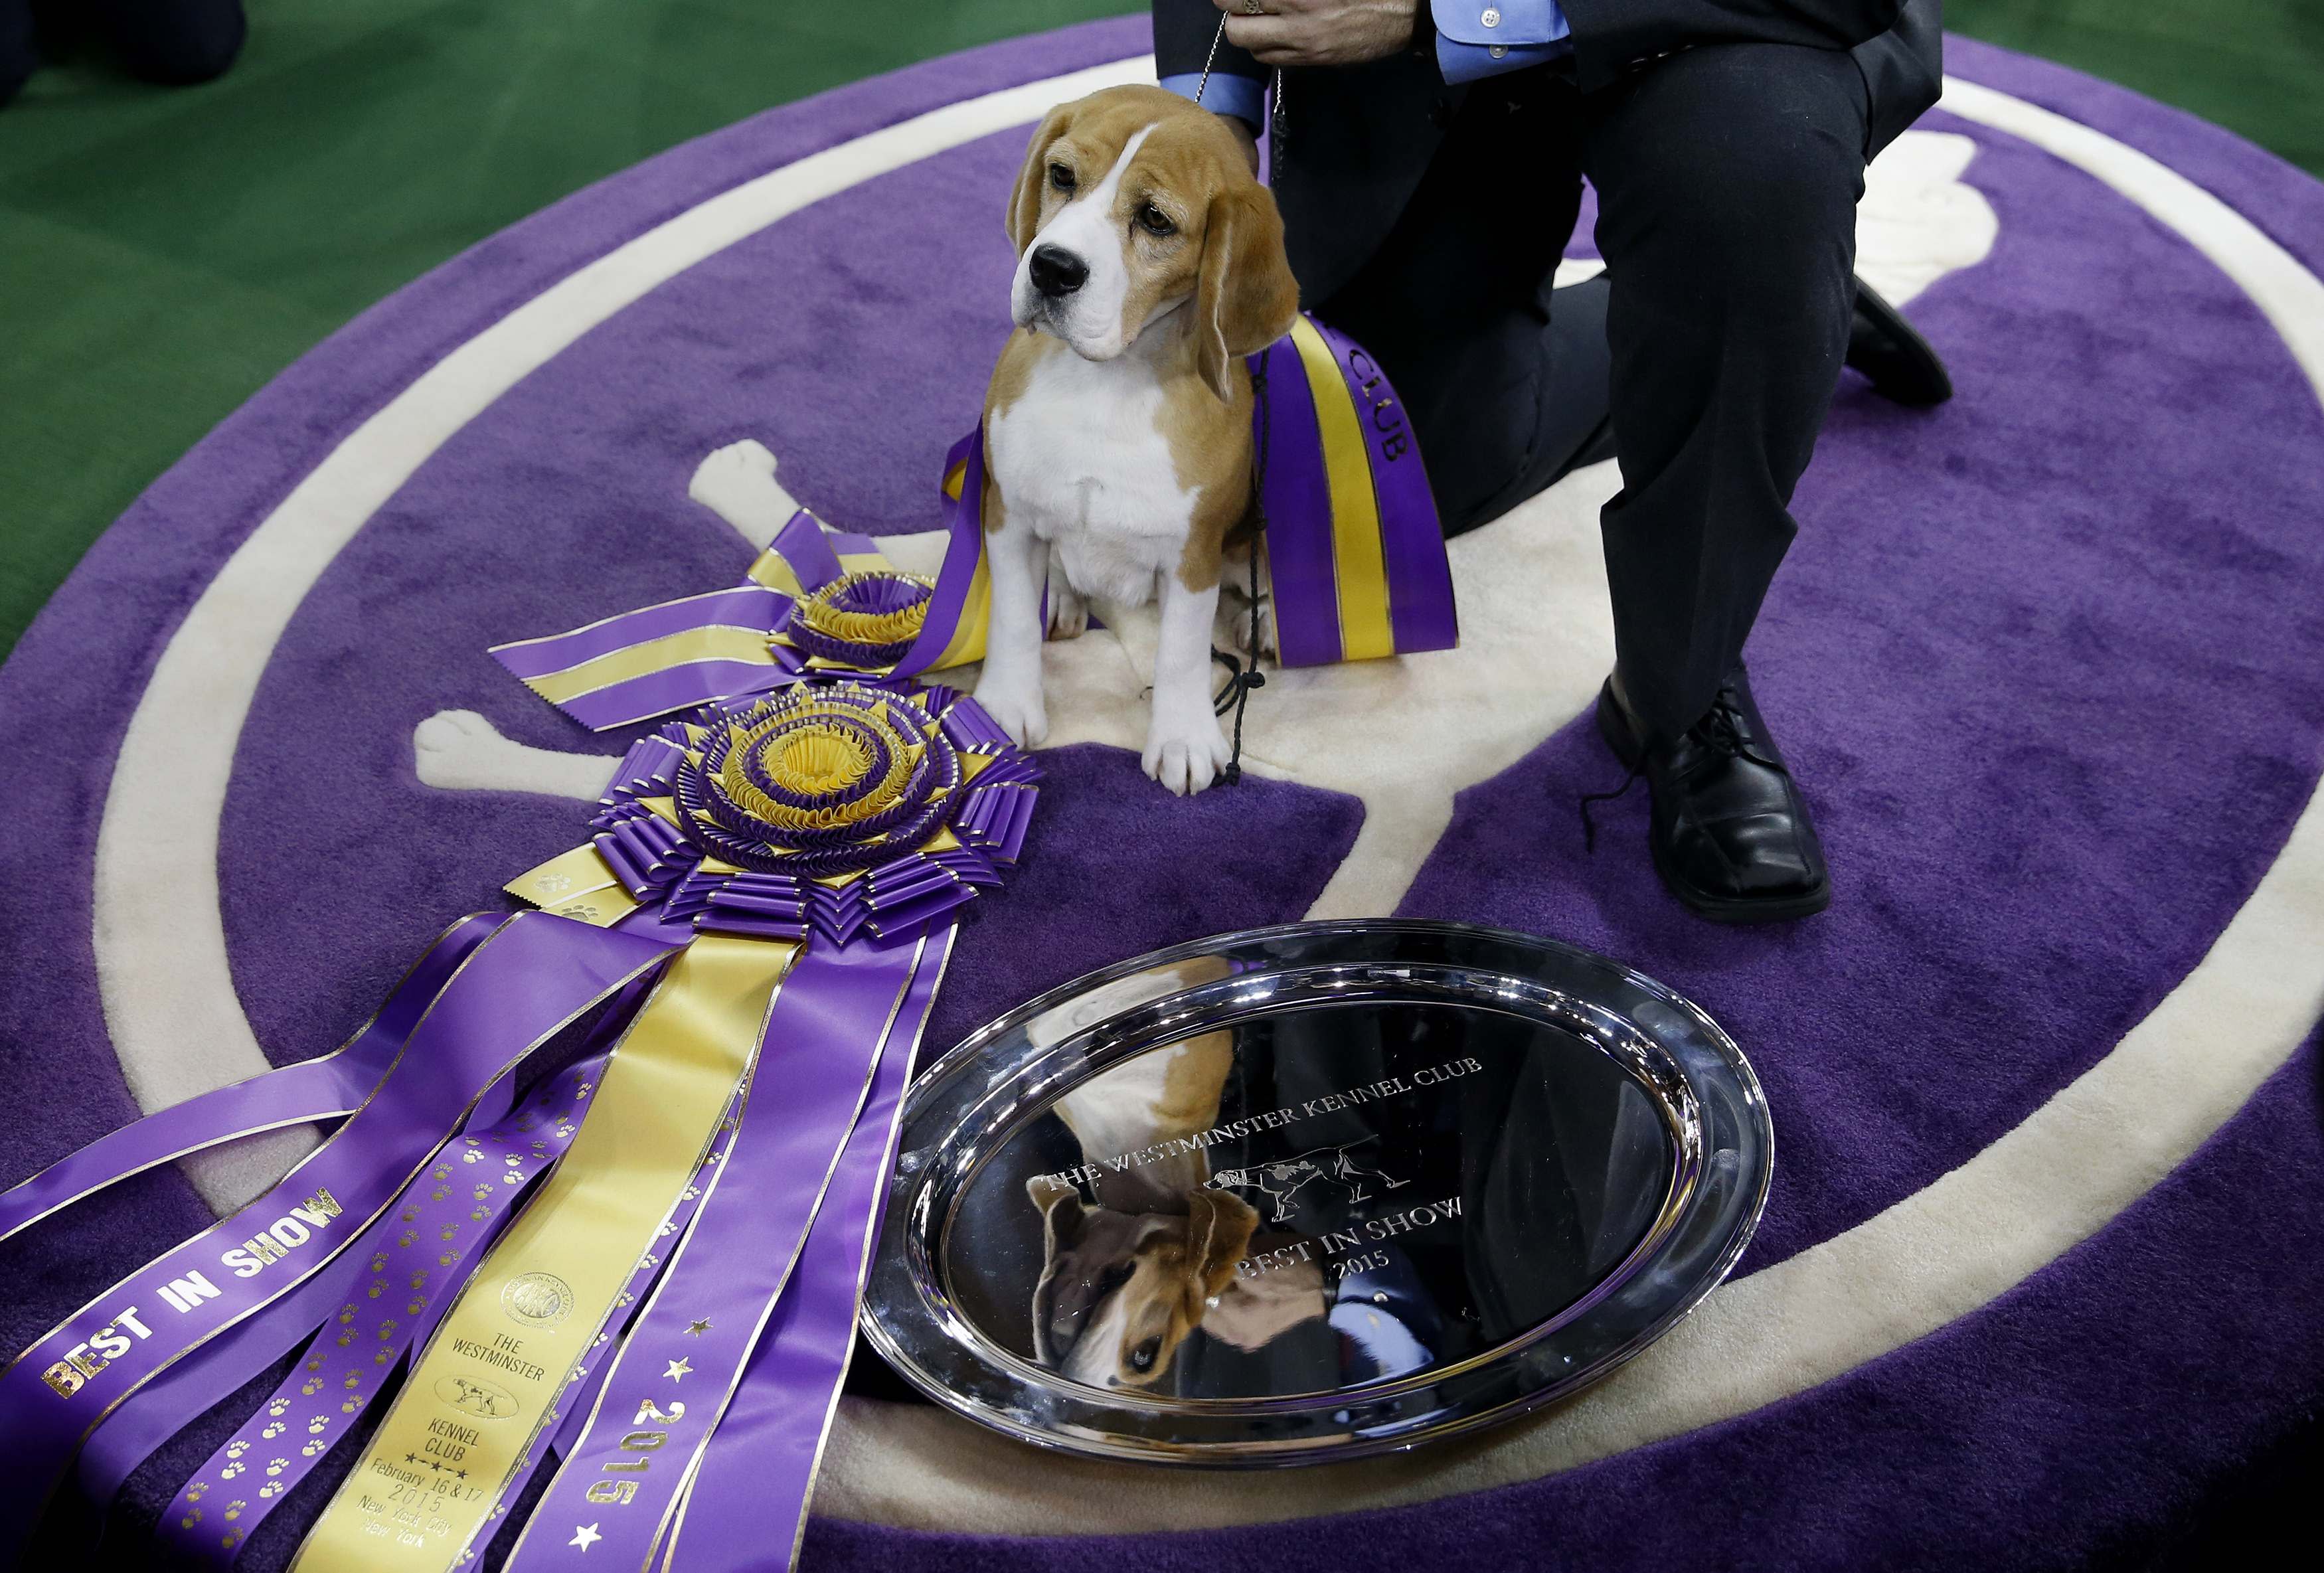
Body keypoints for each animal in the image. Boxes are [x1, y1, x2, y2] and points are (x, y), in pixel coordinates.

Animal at [967, 84, 1311, 789]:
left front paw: (1182, 738)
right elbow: (1011, 620)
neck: (1105, 382)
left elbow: (1180, 652)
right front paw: (1006, 707)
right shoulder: (1007, 516)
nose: (1051, 268)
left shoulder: (1192, 553)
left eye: (1155, 220)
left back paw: (1261, 619)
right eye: (1062, 176)